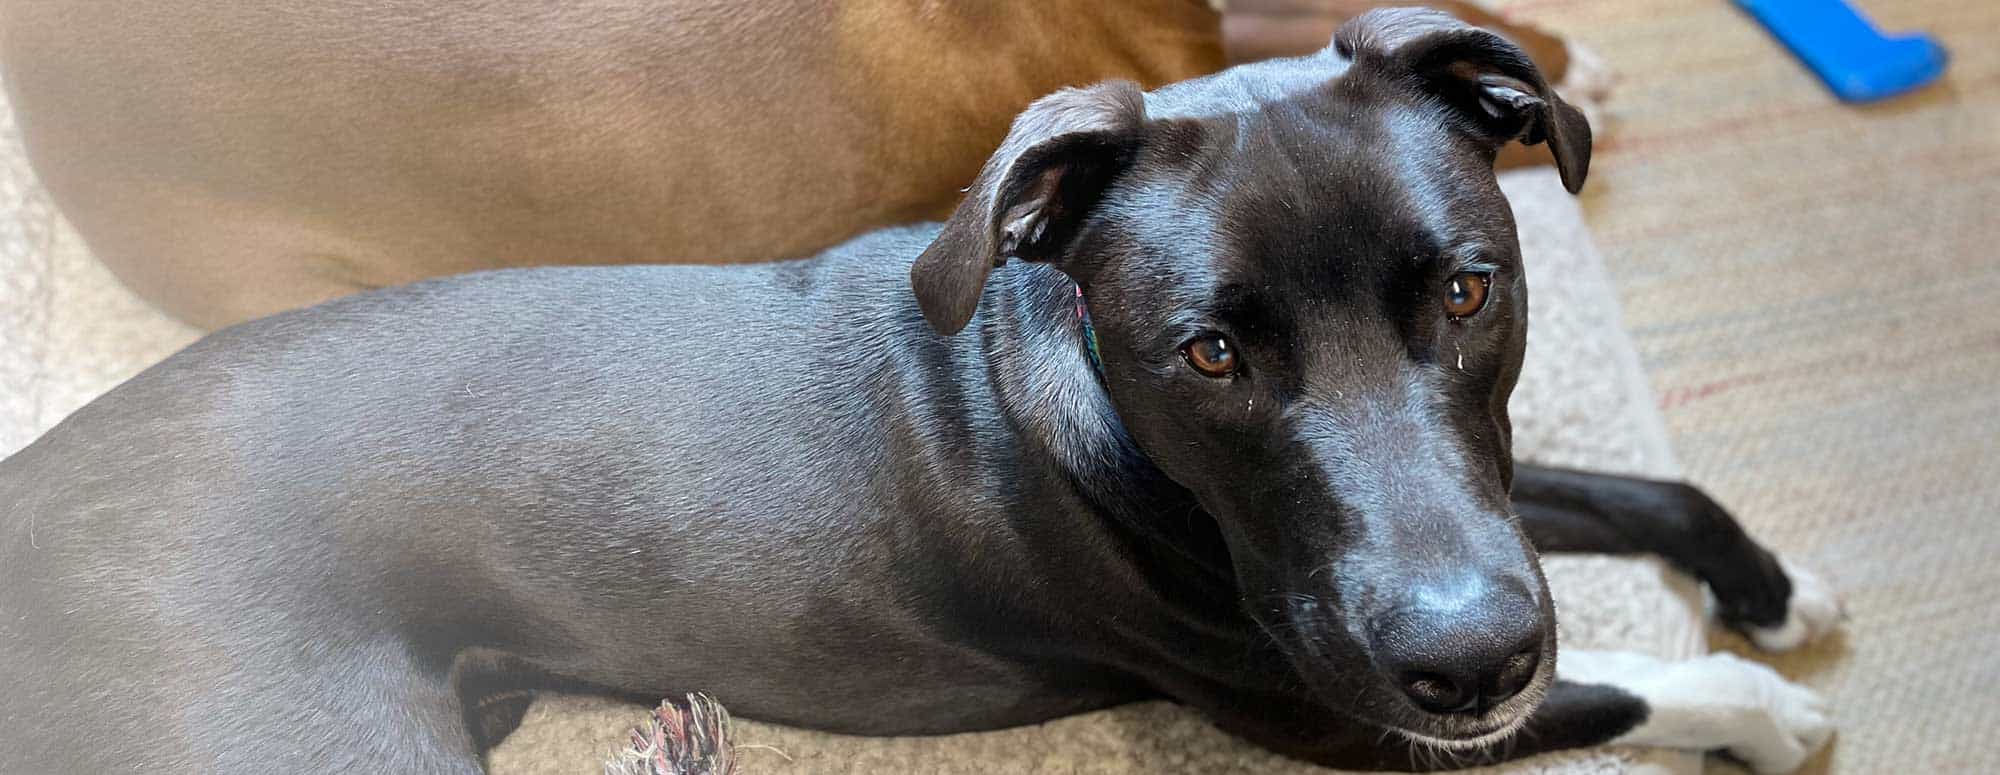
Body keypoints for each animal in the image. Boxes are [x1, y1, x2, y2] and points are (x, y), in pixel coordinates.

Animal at [0, 9, 1832, 771]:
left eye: (1467, 288)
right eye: (1210, 354)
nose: (1469, 656)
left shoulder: (1466, 501)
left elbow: (1628, 490)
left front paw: (1771, 584)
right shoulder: (1345, 711)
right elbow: (1628, 684)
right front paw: (1767, 705)